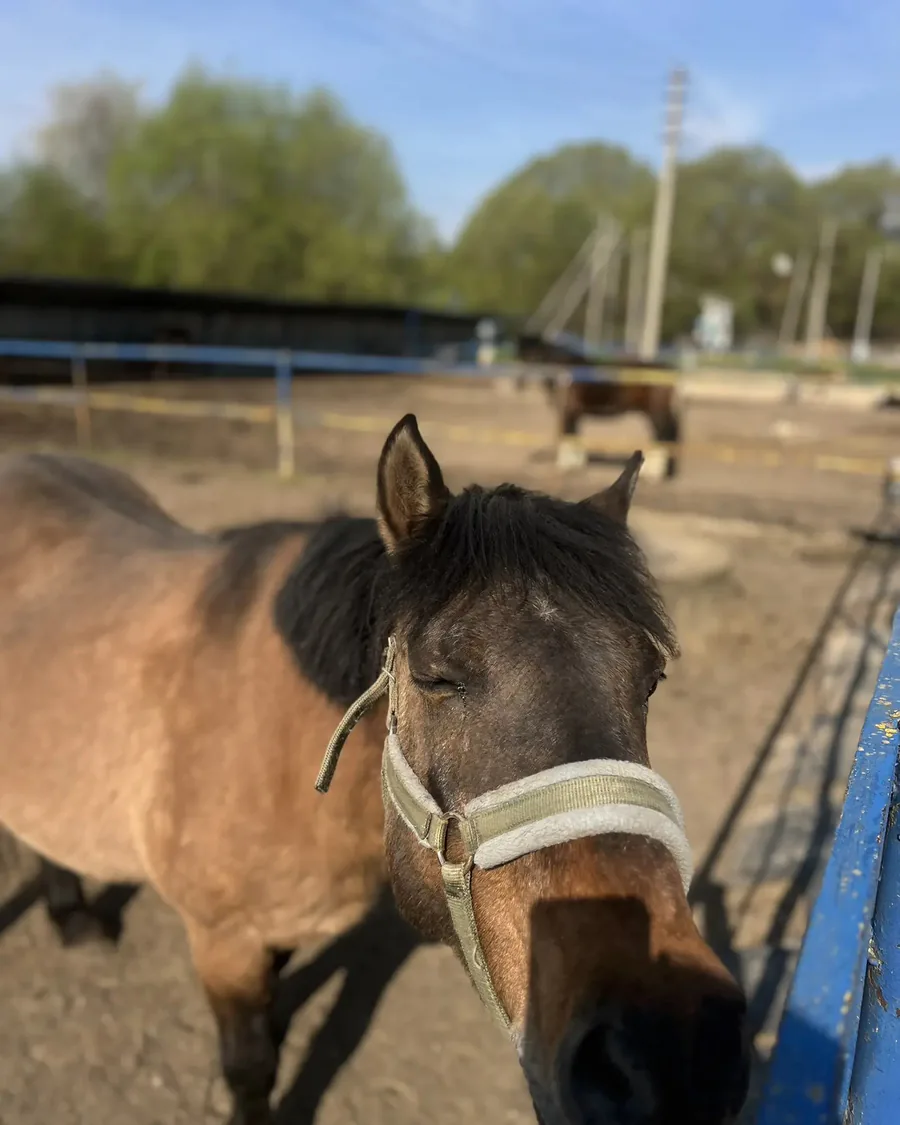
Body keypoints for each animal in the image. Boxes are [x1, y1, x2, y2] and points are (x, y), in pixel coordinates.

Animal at [0, 417, 748, 1125]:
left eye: (651, 679)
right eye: (435, 674)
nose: (675, 1053)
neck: (275, 746)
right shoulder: (224, 942)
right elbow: (250, 1065)